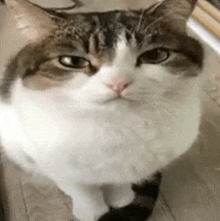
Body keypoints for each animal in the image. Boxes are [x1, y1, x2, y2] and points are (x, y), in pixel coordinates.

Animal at [0, 0, 203, 220]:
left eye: (155, 55)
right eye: (73, 61)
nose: (119, 82)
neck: (116, 126)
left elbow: (121, 180)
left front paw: (121, 198)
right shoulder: (46, 157)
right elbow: (81, 189)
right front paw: (91, 212)